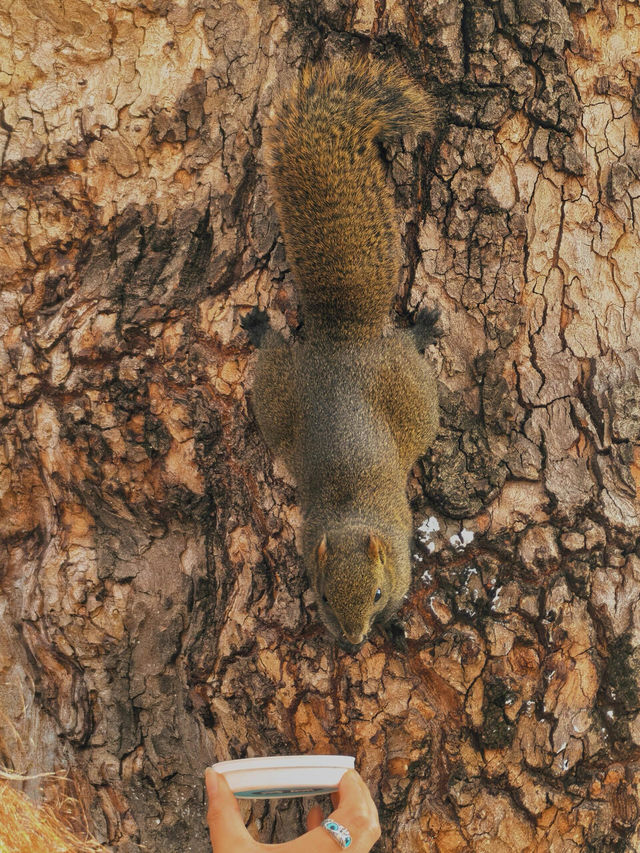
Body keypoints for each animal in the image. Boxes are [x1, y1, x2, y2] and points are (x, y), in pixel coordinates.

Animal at [244, 58, 440, 644]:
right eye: (327, 596)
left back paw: (419, 332)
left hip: (411, 393)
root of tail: (343, 344)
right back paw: (262, 329)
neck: (353, 523)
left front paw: (391, 624)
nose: (353, 641)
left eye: (375, 594)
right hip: (281, 398)